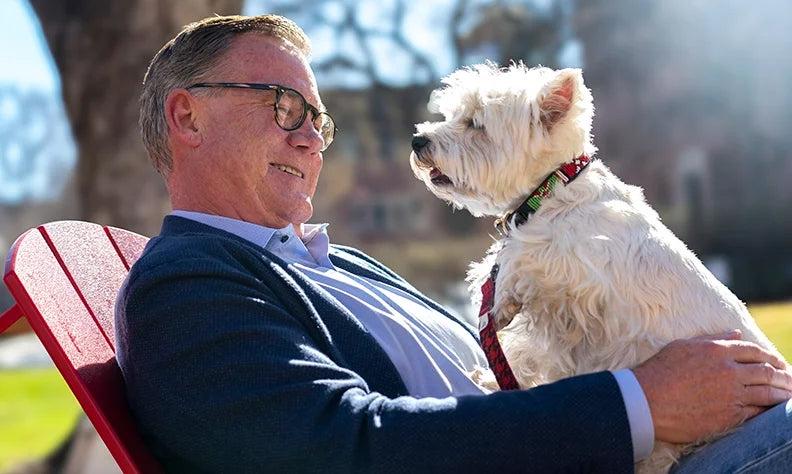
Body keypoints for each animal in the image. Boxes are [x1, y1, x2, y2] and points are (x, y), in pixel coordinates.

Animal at [412, 64, 784, 474]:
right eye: (451, 115)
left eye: (475, 124)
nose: (417, 140)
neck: (553, 188)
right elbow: (534, 352)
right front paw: (493, 376)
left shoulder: (583, 276)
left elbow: (527, 265)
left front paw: (501, 296)